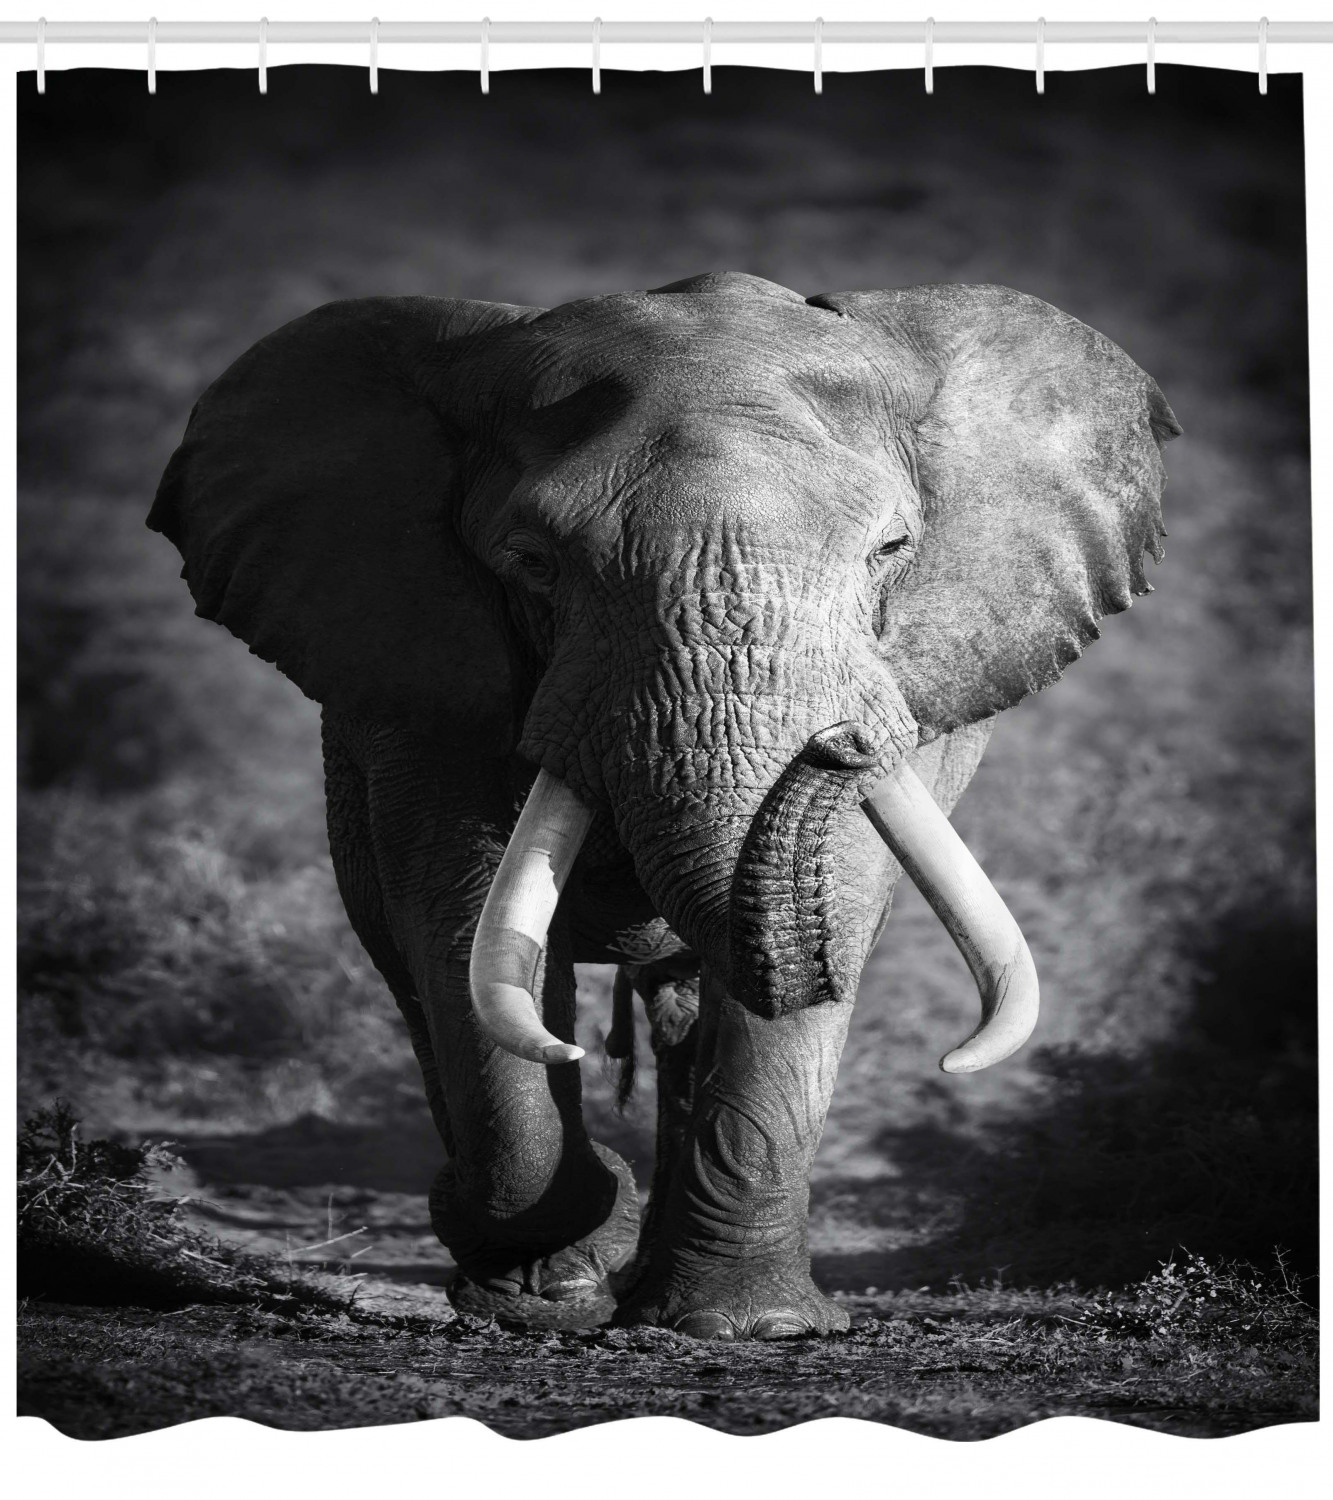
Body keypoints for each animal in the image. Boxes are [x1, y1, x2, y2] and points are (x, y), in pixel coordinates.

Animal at [150, 271, 1179, 1341]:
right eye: (533, 562)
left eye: (891, 549)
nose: (843, 742)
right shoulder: (420, 673)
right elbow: (463, 917)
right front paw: (555, 1286)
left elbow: (839, 901)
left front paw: (749, 1327)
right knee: (409, 962)